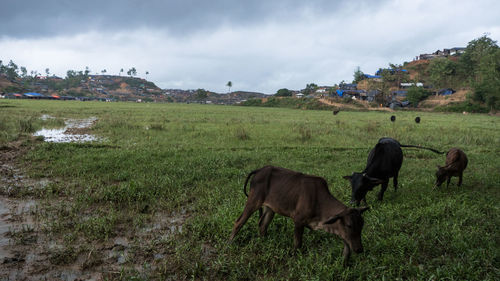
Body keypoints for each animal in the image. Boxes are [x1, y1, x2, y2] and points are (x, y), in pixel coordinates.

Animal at [229, 165, 368, 266]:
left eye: (361, 226)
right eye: (349, 225)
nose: (360, 249)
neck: (319, 201)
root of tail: (259, 170)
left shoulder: (341, 231)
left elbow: (346, 248)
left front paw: (344, 264)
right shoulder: (298, 221)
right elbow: (297, 244)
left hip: (270, 208)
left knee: (262, 225)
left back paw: (264, 241)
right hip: (253, 201)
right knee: (238, 222)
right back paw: (229, 243)